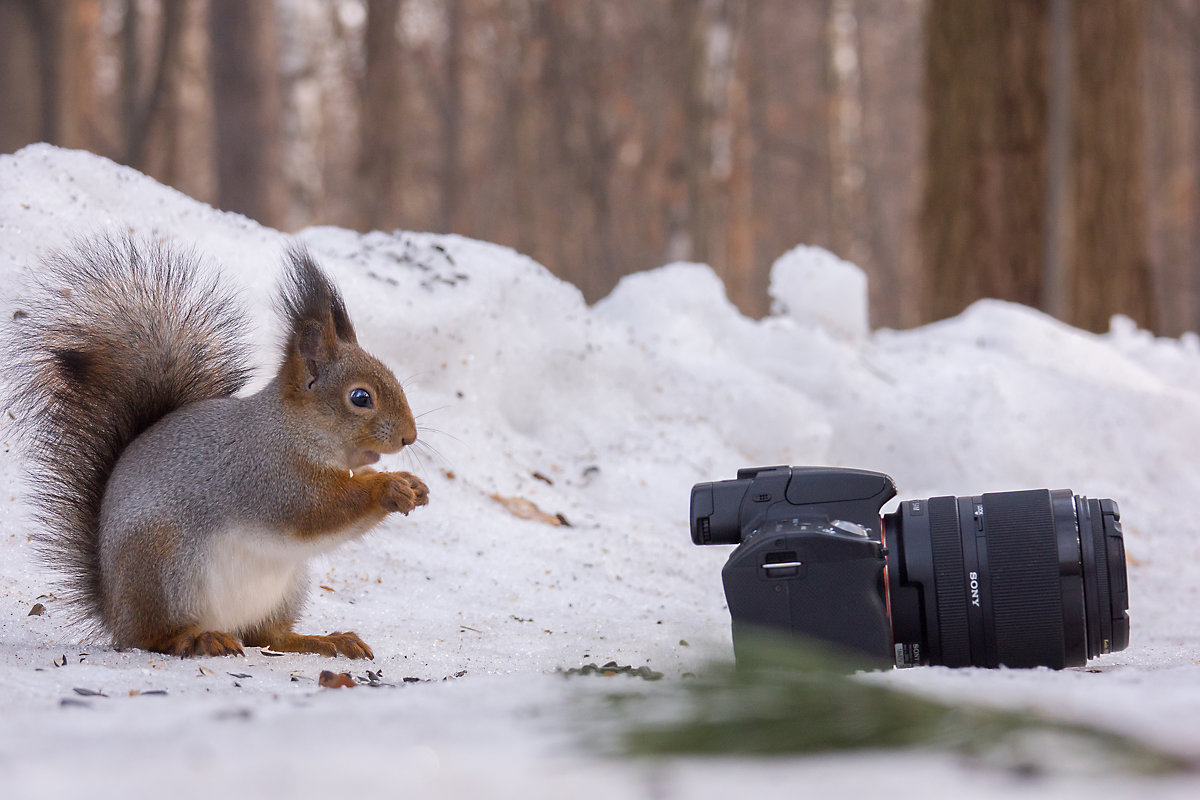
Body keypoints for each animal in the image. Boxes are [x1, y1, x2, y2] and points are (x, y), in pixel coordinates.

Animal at [7, 235, 429, 662]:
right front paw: (388, 487)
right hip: (165, 568)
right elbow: (318, 509)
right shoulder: (268, 476)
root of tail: (114, 612)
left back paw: (326, 640)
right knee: (153, 637)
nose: (409, 437)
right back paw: (197, 639)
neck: (293, 432)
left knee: (269, 636)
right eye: (360, 398)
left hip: (285, 588)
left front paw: (411, 483)